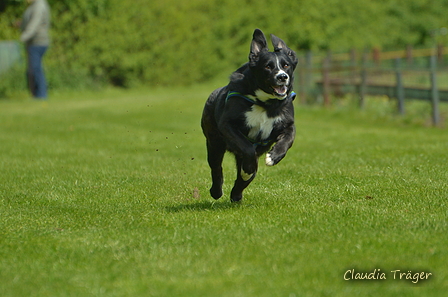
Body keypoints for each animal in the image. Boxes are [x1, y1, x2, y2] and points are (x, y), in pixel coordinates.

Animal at [201, 28, 296, 201]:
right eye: (268, 67)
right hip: (214, 143)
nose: (282, 77)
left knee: (243, 178)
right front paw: (249, 167)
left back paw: (236, 194)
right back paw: (217, 191)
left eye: (286, 65)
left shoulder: (288, 124)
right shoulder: (228, 125)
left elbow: (288, 140)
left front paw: (273, 157)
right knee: (216, 168)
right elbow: (246, 147)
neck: (266, 103)